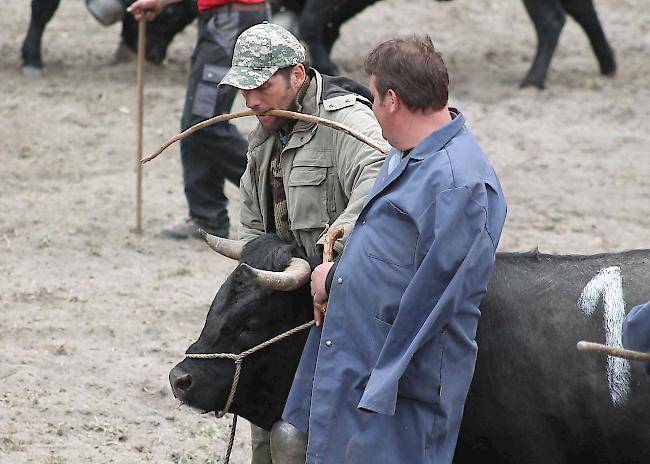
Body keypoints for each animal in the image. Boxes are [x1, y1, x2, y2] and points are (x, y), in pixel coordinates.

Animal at [270, 0, 616, 89]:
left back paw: (532, 80)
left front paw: (329, 65)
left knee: (551, 21)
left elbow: (313, 22)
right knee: (582, 12)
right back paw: (608, 66)